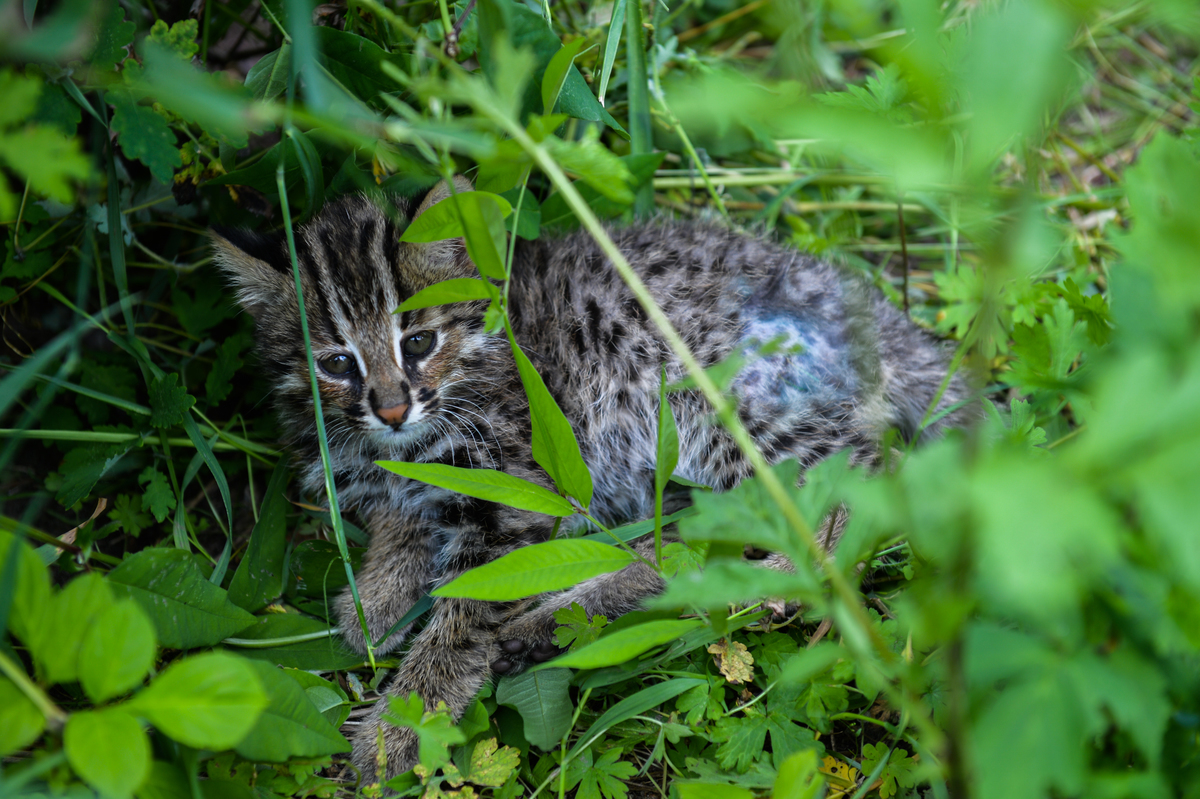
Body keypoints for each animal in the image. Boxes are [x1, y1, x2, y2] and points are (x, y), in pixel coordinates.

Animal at [211, 178, 969, 777]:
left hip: (709, 402)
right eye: (336, 363)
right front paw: (377, 600)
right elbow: (403, 521)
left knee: (853, 492)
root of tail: (860, 301)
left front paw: (403, 726)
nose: (391, 407)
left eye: (418, 342)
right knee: (691, 546)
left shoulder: (516, 492)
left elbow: (464, 611)